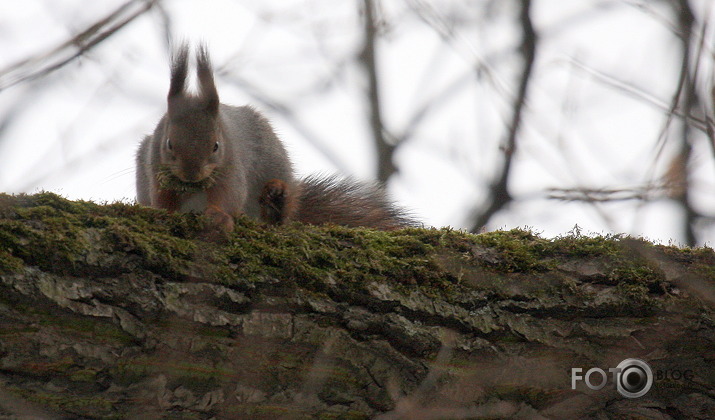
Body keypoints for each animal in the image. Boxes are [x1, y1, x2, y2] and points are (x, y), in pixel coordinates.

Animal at [136, 45, 414, 233]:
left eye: (216, 146)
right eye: (169, 143)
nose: (191, 174)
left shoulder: (230, 167)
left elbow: (229, 194)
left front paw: (218, 216)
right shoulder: (155, 165)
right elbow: (162, 196)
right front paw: (164, 214)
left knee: (280, 213)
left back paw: (275, 203)